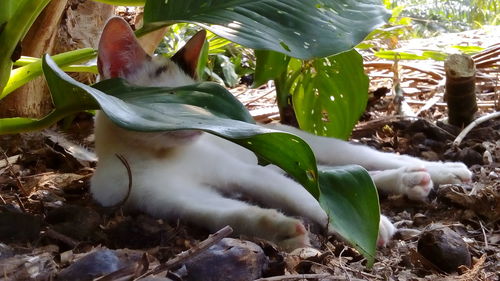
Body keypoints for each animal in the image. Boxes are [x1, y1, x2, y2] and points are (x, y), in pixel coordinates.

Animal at [91, 17, 472, 249]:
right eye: (171, 101)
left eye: (206, 99)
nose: (204, 124)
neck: (154, 156)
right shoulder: (172, 200)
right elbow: (226, 214)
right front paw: (278, 228)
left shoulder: (246, 174)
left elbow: (305, 198)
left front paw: (362, 227)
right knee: (332, 177)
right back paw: (410, 180)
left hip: (297, 148)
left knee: (355, 164)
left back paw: (444, 171)